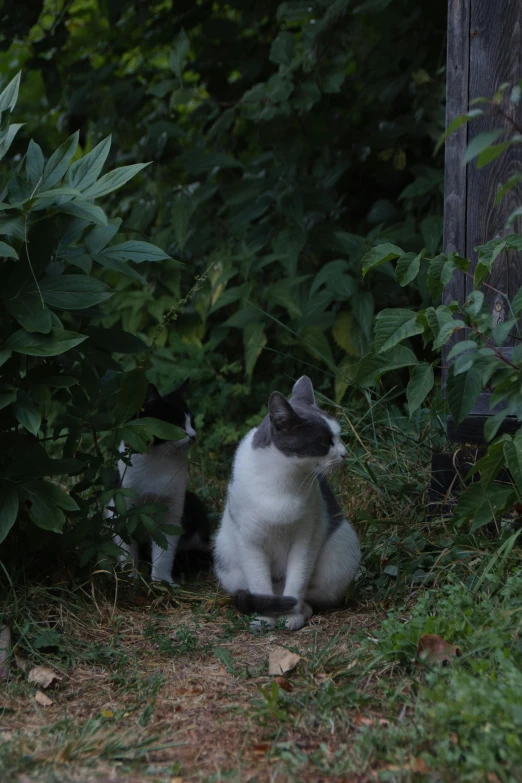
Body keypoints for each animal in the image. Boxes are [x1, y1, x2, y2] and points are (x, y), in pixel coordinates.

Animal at [110, 380, 208, 588]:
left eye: (192, 422)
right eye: (176, 424)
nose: (193, 436)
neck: (158, 459)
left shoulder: (172, 510)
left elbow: (164, 552)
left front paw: (162, 582)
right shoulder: (126, 507)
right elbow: (127, 547)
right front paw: (129, 577)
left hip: (193, 503)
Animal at [213, 376, 360, 632]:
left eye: (340, 436)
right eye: (325, 442)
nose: (345, 453)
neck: (282, 481)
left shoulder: (306, 538)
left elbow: (297, 582)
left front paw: (291, 616)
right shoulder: (249, 542)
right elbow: (260, 585)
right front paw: (265, 619)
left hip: (339, 554)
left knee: (312, 594)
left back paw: (303, 610)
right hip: (226, 558)